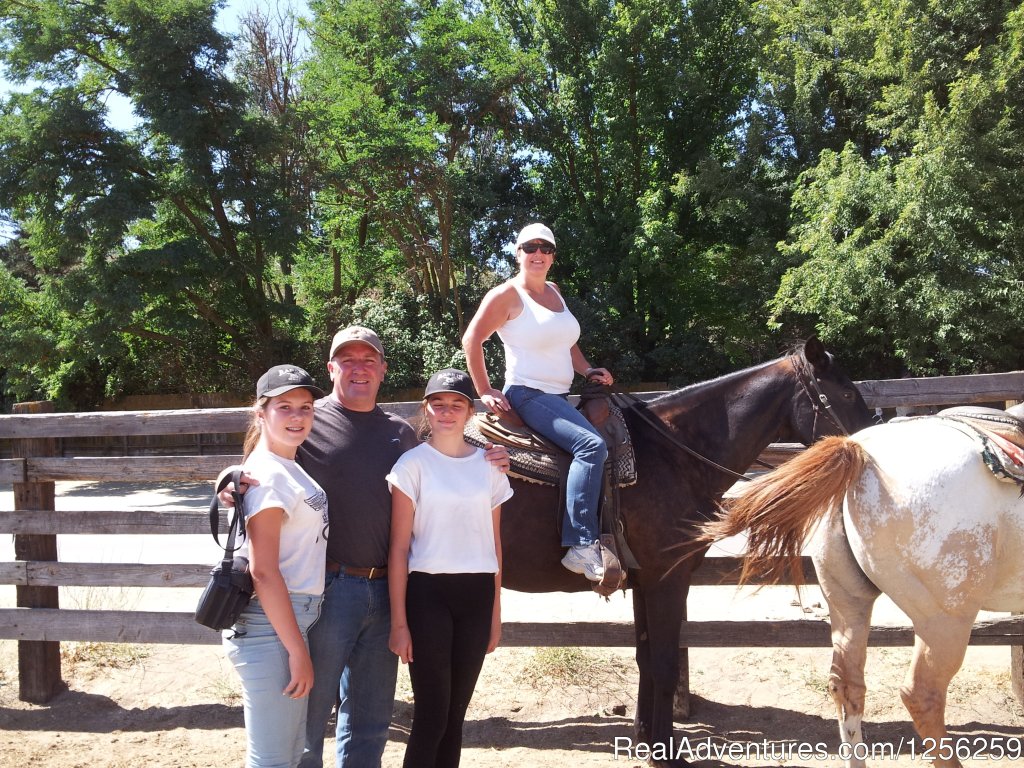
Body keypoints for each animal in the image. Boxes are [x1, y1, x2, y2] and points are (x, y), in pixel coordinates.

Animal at [495, 339, 872, 765]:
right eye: (846, 393)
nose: (871, 446)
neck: (673, 455)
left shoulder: (645, 582)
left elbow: (645, 658)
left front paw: (644, 738)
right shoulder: (667, 580)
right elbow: (664, 664)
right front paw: (664, 752)